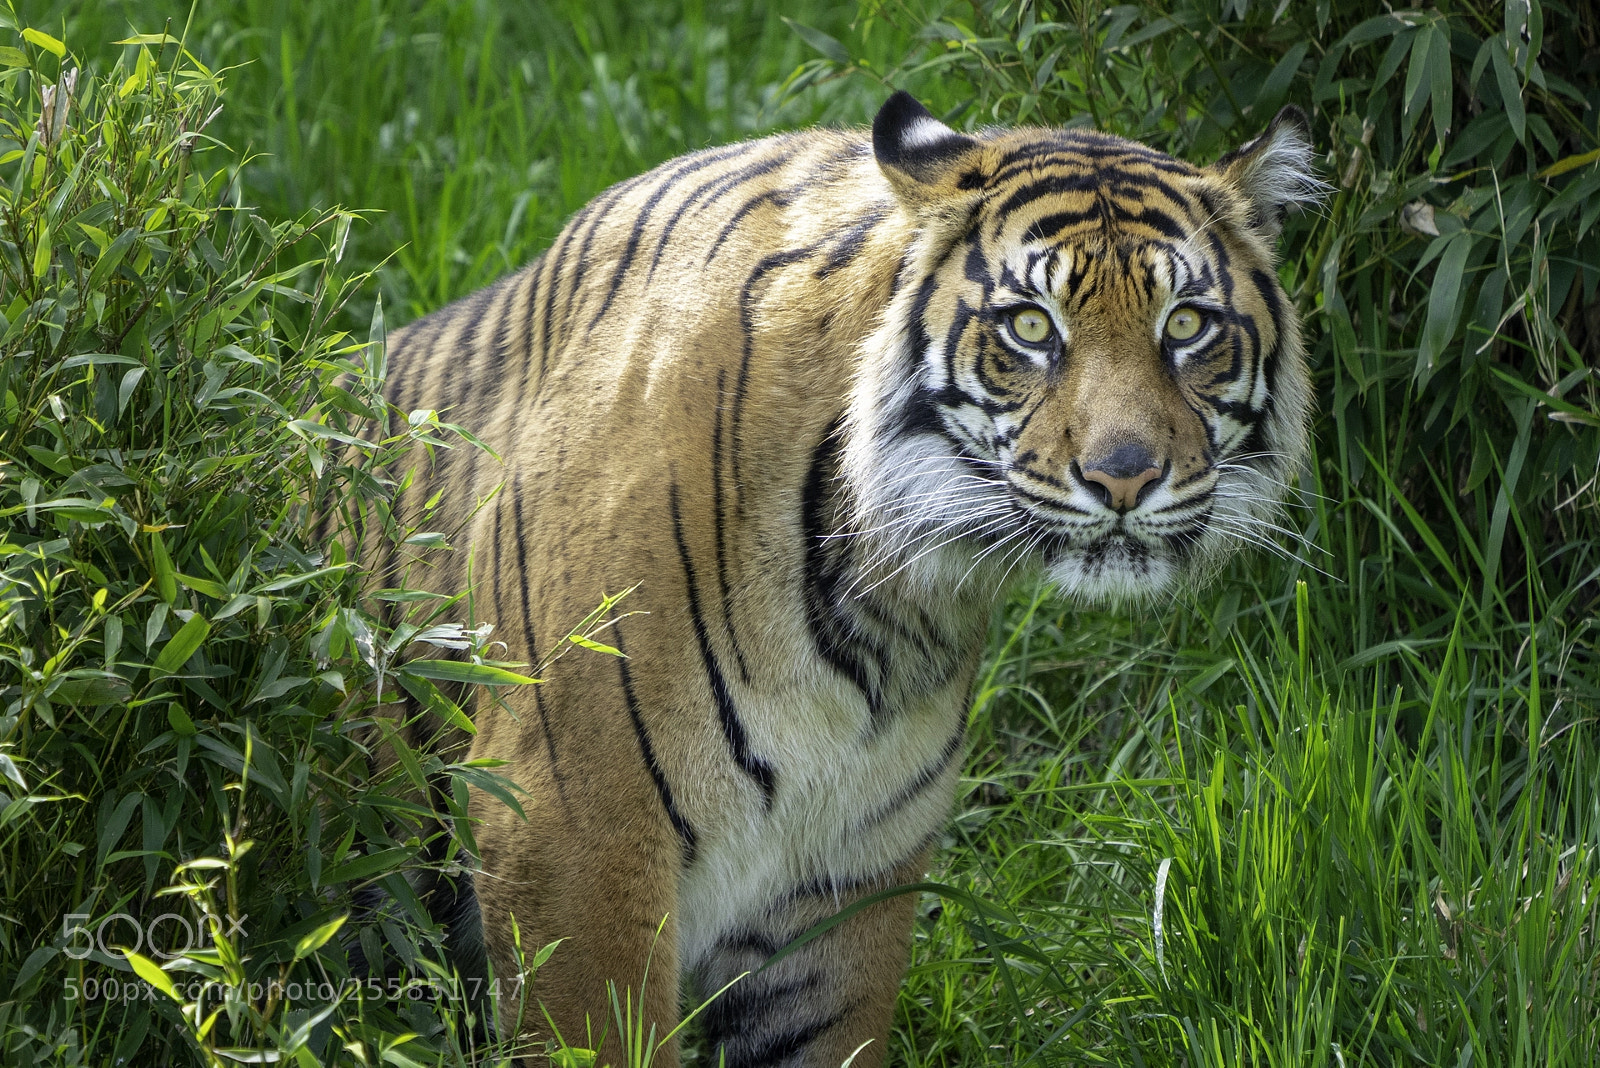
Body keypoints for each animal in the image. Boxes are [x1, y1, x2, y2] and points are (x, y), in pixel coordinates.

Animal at [373, 91, 1322, 1066]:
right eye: (1030, 327)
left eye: (1186, 325)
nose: (1125, 476)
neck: (888, 593)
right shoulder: (567, 836)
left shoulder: (843, 878)